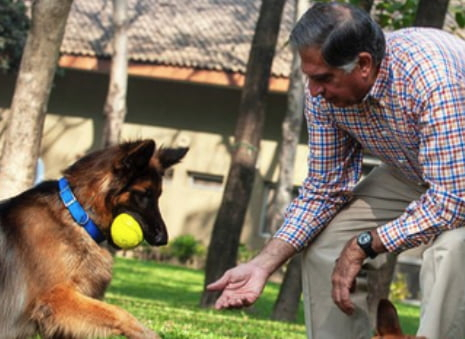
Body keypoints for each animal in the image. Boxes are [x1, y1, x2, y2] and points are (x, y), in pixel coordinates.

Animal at [0, 139, 188, 338]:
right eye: (144, 194)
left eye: (157, 196)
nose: (163, 239)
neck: (78, 216)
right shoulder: (56, 297)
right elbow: (119, 312)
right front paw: (146, 333)